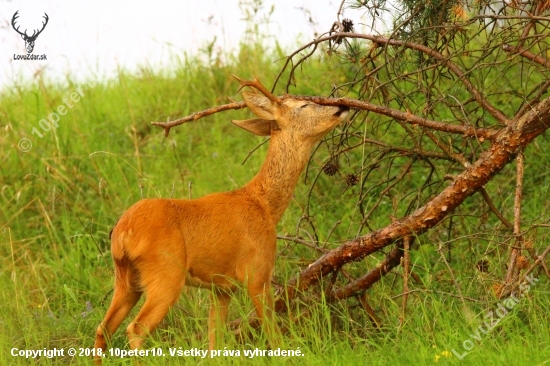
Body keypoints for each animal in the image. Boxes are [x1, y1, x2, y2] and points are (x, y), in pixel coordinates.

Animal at [92, 76, 348, 358]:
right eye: (303, 105)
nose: (342, 106)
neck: (263, 204)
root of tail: (122, 234)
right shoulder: (257, 272)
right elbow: (274, 334)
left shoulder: (220, 288)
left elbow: (215, 343)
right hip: (165, 275)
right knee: (135, 330)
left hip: (125, 280)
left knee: (103, 329)